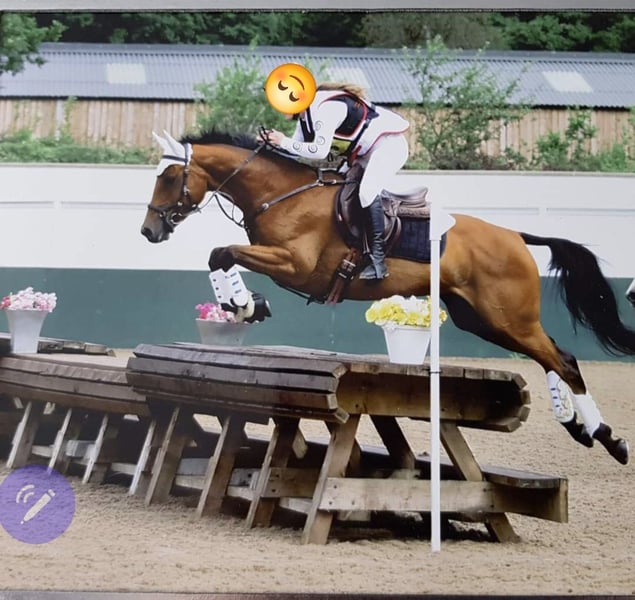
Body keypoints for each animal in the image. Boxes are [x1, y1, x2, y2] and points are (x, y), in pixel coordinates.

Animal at [141, 129, 635, 466]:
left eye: (169, 176)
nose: (149, 231)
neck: (280, 194)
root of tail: (515, 234)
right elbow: (219, 255)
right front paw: (246, 304)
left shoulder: (295, 264)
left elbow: (221, 252)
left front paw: (244, 304)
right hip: (484, 320)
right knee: (554, 355)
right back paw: (580, 428)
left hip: (508, 317)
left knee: (563, 360)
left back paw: (609, 437)